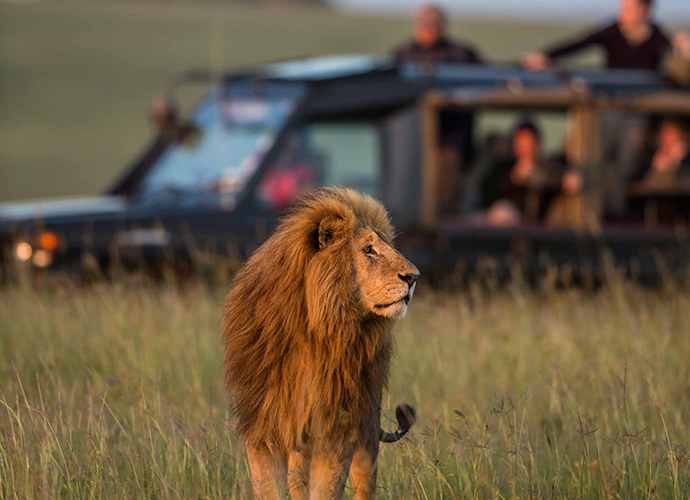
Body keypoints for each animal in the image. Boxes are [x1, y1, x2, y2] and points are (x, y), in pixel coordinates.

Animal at [224, 188, 420, 500]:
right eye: (368, 249)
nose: (414, 277)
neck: (319, 329)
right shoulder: (262, 428)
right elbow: (269, 488)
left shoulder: (338, 431)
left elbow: (327, 490)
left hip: (366, 428)